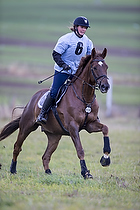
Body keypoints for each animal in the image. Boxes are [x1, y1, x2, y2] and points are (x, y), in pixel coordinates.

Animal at [0, 47, 111, 179]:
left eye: (106, 67)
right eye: (94, 68)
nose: (105, 86)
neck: (85, 98)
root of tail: (32, 99)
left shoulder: (90, 124)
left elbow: (105, 128)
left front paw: (105, 158)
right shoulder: (73, 127)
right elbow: (80, 150)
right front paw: (85, 172)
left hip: (54, 136)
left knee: (45, 156)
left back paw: (48, 172)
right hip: (26, 127)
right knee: (17, 147)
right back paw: (13, 169)